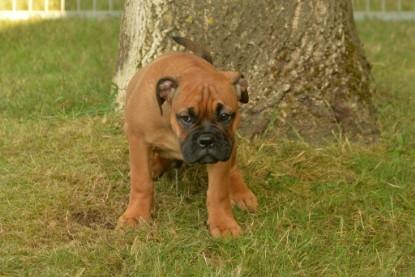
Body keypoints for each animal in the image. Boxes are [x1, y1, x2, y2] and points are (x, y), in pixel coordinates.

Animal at [118, 36, 258, 237]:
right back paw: (154, 166)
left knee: (233, 167)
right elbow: (141, 181)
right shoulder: (138, 139)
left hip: (231, 144)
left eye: (225, 116)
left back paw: (241, 193)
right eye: (186, 117)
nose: (207, 140)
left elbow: (218, 192)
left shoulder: (222, 151)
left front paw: (223, 223)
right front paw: (136, 215)